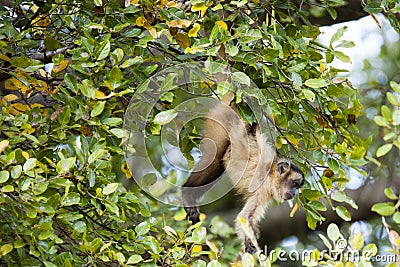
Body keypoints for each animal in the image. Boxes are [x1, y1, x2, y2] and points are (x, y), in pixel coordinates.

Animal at [181, 96, 304, 255]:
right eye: (294, 184)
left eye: (297, 187)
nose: (294, 193)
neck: (271, 174)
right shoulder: (264, 187)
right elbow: (244, 217)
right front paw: (250, 243)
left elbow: (248, 219)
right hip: (221, 120)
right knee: (215, 158)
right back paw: (187, 193)